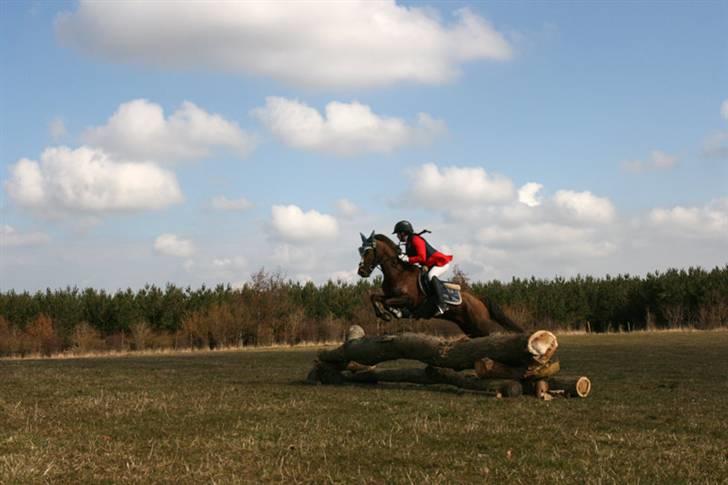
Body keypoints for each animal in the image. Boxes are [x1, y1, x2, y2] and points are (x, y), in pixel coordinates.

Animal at [356, 231, 524, 336]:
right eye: (360, 250)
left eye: (368, 252)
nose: (361, 272)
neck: (398, 273)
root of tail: (479, 300)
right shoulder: (390, 295)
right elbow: (375, 297)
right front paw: (385, 314)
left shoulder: (409, 300)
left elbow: (386, 302)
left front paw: (391, 313)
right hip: (469, 328)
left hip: (479, 326)